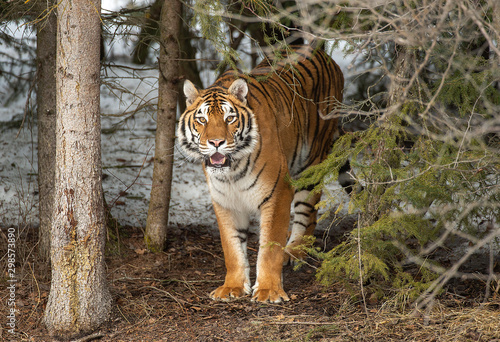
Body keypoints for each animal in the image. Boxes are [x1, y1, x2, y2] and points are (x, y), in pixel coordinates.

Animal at [179, 44, 348, 304]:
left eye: (229, 118)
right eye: (202, 119)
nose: (216, 142)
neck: (232, 171)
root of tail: (322, 52)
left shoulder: (277, 192)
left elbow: (269, 247)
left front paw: (269, 291)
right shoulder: (224, 200)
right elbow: (231, 247)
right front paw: (232, 287)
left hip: (312, 161)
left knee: (308, 213)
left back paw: (295, 251)